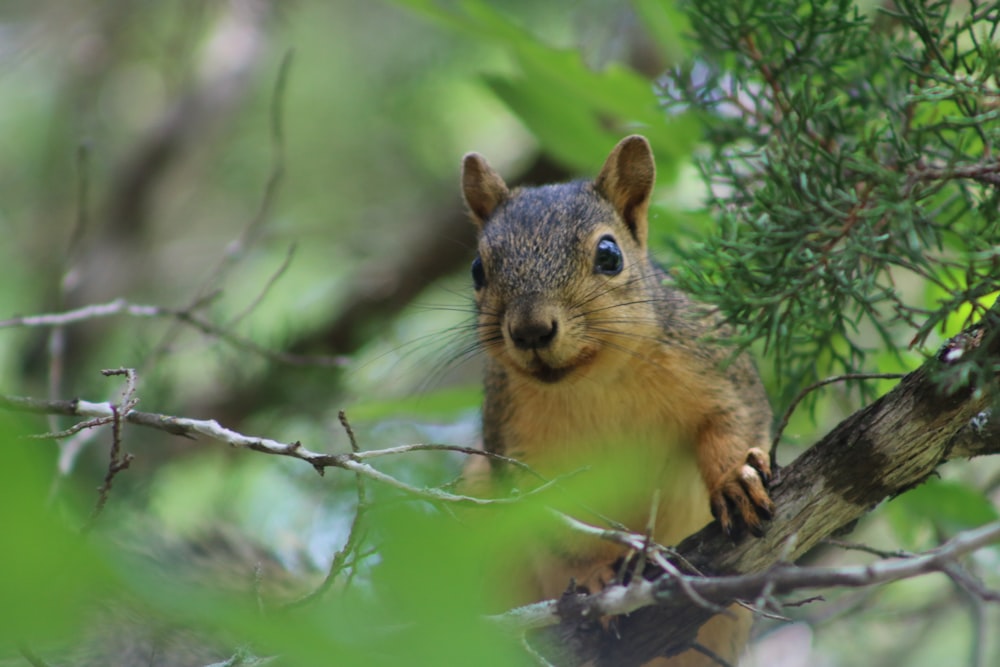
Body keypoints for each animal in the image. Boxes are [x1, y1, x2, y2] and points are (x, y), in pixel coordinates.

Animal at [462, 133, 780, 664]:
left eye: (610, 255)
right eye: (477, 270)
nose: (530, 330)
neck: (594, 381)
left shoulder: (716, 362)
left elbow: (734, 419)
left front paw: (737, 477)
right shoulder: (514, 444)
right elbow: (559, 528)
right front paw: (595, 578)